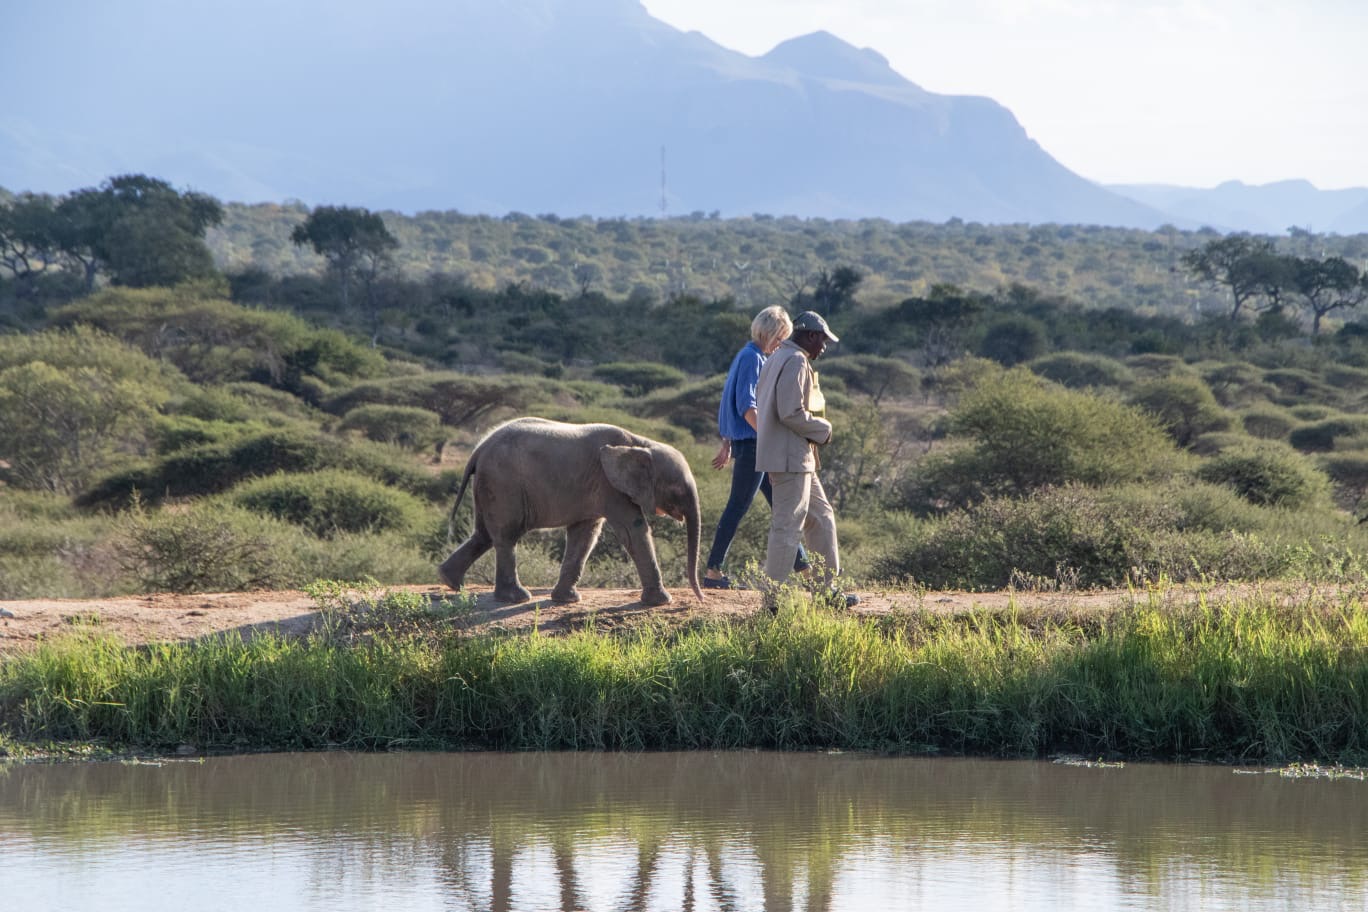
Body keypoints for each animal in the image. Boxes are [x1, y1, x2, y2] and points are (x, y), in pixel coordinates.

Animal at [438, 417, 705, 606]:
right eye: (676, 489)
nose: (701, 598)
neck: (640, 444)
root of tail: (478, 449)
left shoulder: (595, 488)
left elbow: (585, 534)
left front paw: (566, 600)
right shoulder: (609, 485)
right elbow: (633, 529)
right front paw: (661, 602)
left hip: (490, 485)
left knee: (483, 534)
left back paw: (450, 581)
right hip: (503, 484)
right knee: (505, 535)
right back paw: (517, 597)